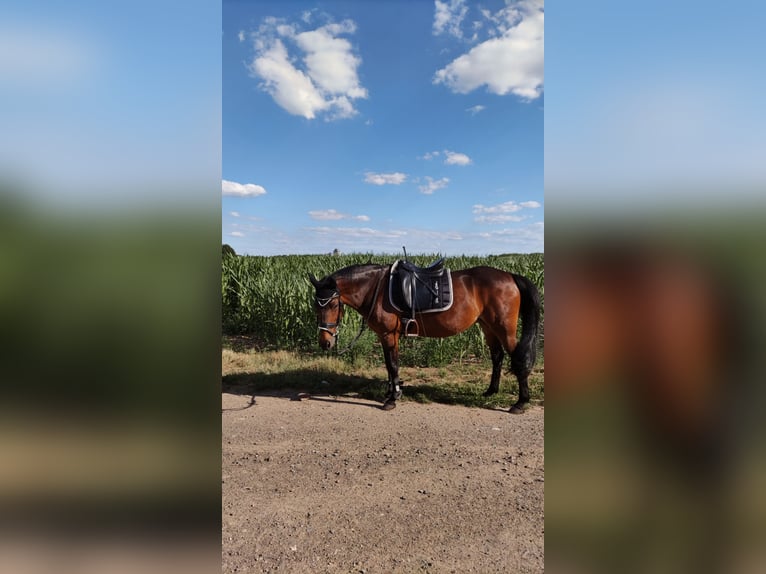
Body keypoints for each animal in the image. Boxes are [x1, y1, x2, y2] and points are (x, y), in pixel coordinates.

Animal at [308, 266, 544, 414]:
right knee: (497, 356)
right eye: (315, 306)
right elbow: (390, 365)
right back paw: (490, 391)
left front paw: (392, 399)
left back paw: (520, 403)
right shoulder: (388, 336)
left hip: (504, 328)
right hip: (488, 326)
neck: (377, 289)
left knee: (518, 359)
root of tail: (510, 276)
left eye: (332, 304)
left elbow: (392, 365)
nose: (325, 343)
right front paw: (392, 392)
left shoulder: (388, 334)